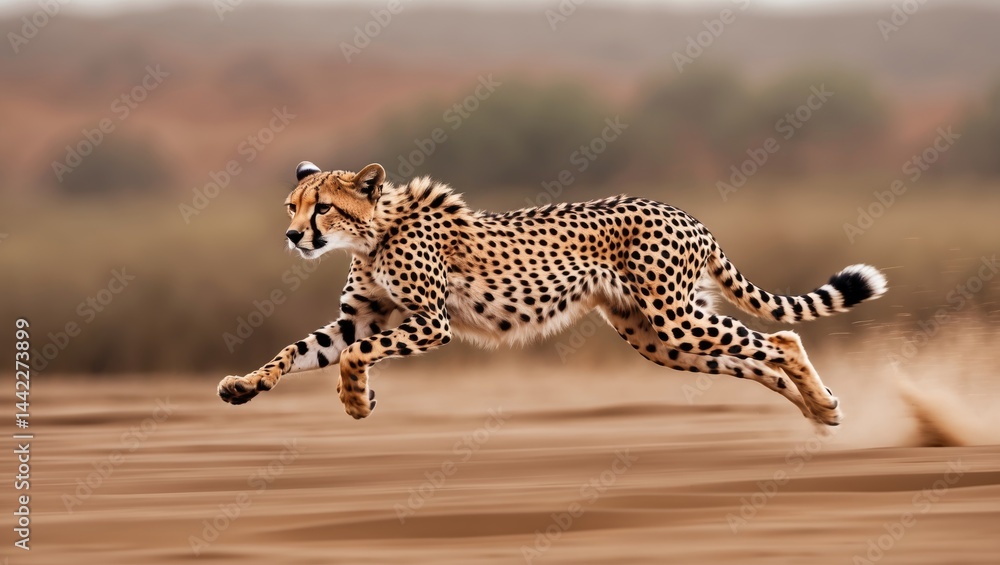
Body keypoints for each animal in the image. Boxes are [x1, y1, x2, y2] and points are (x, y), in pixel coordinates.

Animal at [218, 161, 887, 427]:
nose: (292, 235)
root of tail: (682, 211)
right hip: (660, 337)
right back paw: (820, 408)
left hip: (675, 321)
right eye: (291, 206)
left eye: (322, 208)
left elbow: (355, 357)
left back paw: (818, 399)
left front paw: (357, 401)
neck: (372, 234)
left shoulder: (431, 322)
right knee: (757, 359)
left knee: (781, 339)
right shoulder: (361, 318)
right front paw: (243, 385)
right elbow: (299, 350)